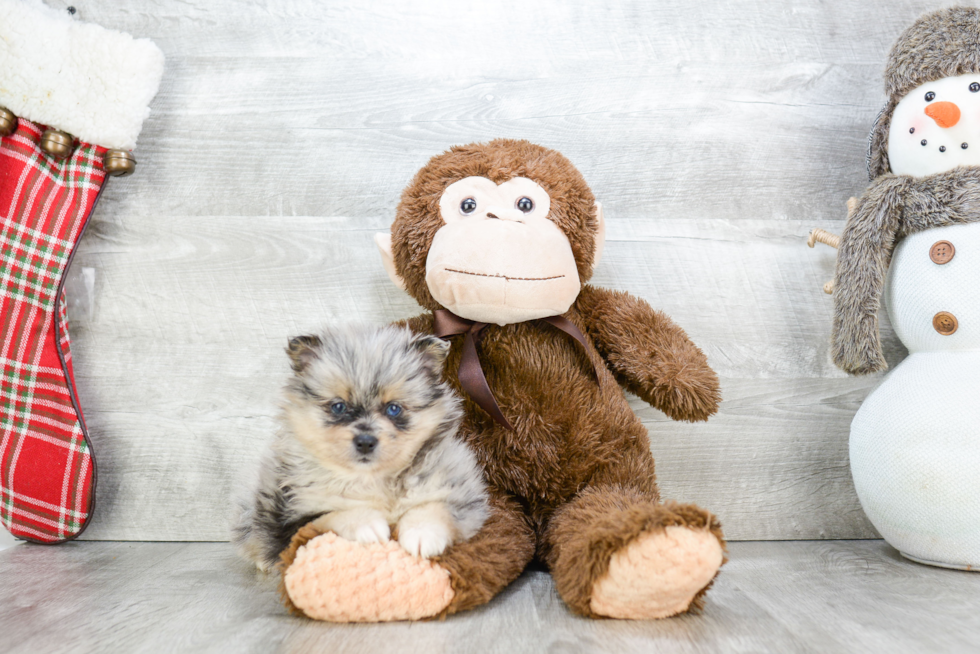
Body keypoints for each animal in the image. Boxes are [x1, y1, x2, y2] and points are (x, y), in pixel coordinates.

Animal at [231, 326, 490, 572]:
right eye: (338, 407)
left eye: (393, 409)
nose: (365, 441)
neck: (372, 479)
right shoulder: (297, 516)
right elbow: (333, 514)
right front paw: (366, 524)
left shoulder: (462, 497)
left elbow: (436, 507)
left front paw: (422, 533)